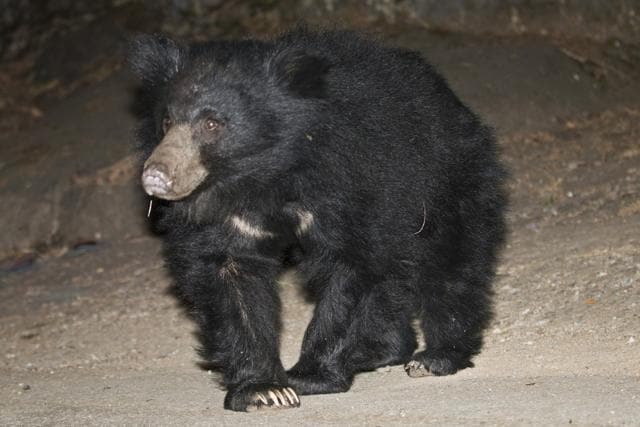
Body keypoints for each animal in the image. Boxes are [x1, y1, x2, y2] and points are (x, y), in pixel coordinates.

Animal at [129, 27, 507, 412]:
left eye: (211, 124)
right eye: (166, 122)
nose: (156, 175)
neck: (266, 174)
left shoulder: (355, 180)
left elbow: (353, 267)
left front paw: (309, 376)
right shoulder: (225, 215)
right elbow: (230, 273)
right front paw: (265, 390)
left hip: (449, 181)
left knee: (451, 263)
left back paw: (436, 356)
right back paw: (382, 351)